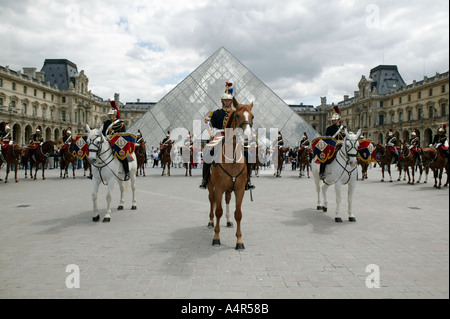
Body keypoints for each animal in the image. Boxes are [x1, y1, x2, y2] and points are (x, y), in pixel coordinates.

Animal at [207, 96, 253, 251]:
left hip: (228, 189)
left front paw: (239, 241)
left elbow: (238, 214)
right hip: (211, 187)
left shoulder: (239, 189)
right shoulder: (218, 188)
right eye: (237, 115)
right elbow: (218, 211)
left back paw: (228, 221)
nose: (247, 136)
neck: (232, 158)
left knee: (226, 201)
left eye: (252, 116)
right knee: (212, 202)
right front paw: (216, 238)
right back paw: (210, 221)